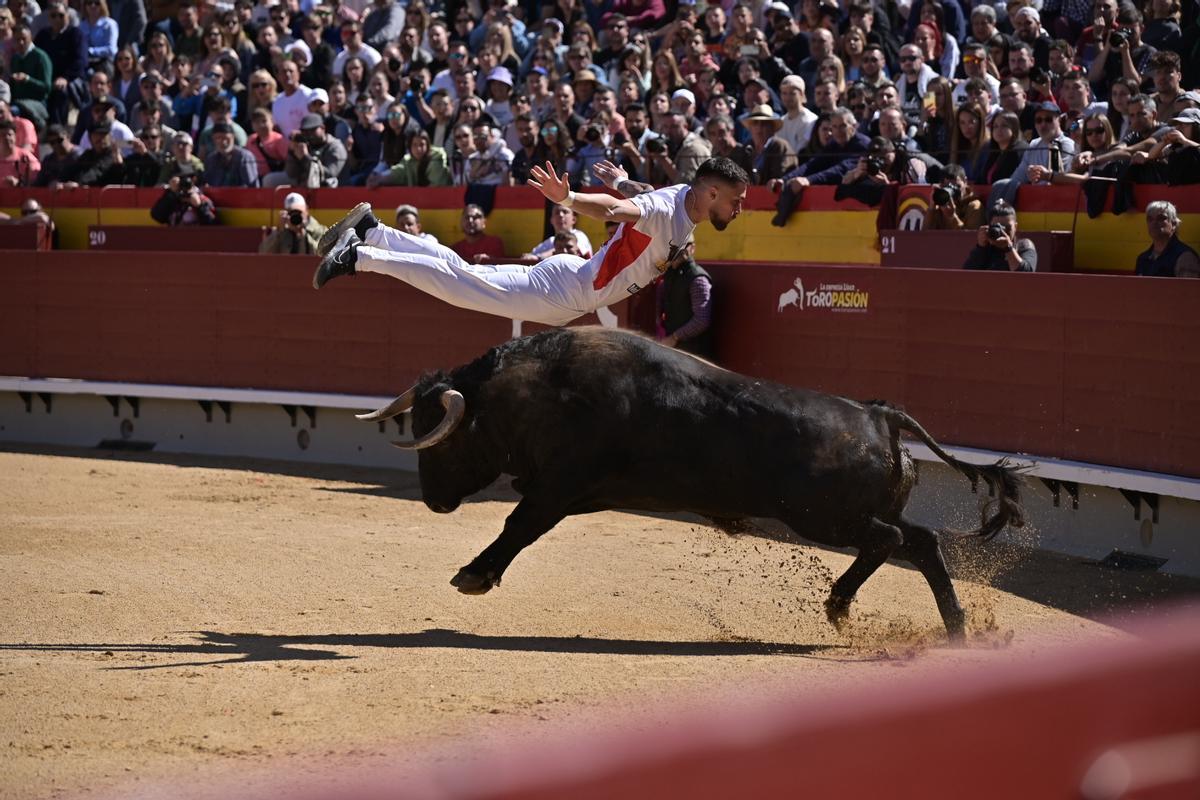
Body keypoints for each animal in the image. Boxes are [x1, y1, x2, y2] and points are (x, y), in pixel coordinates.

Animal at [357, 326, 1022, 638]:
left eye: (440, 437)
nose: (433, 501)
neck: (536, 389)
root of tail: (879, 415)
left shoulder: (557, 489)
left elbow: (518, 526)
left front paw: (473, 576)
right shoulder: (570, 493)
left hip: (821, 517)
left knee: (892, 540)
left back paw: (840, 607)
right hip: (851, 513)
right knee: (922, 542)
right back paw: (954, 628)